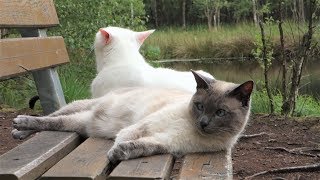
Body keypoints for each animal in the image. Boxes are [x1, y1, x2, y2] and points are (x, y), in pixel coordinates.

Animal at [11, 71, 252, 163]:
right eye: (200, 106)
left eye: (220, 113)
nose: (203, 123)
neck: (190, 129)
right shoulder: (145, 125)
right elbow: (124, 137)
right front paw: (111, 156)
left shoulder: (165, 143)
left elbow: (138, 147)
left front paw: (119, 154)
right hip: (82, 107)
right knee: (49, 118)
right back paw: (18, 126)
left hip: (79, 123)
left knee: (55, 124)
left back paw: (20, 131)